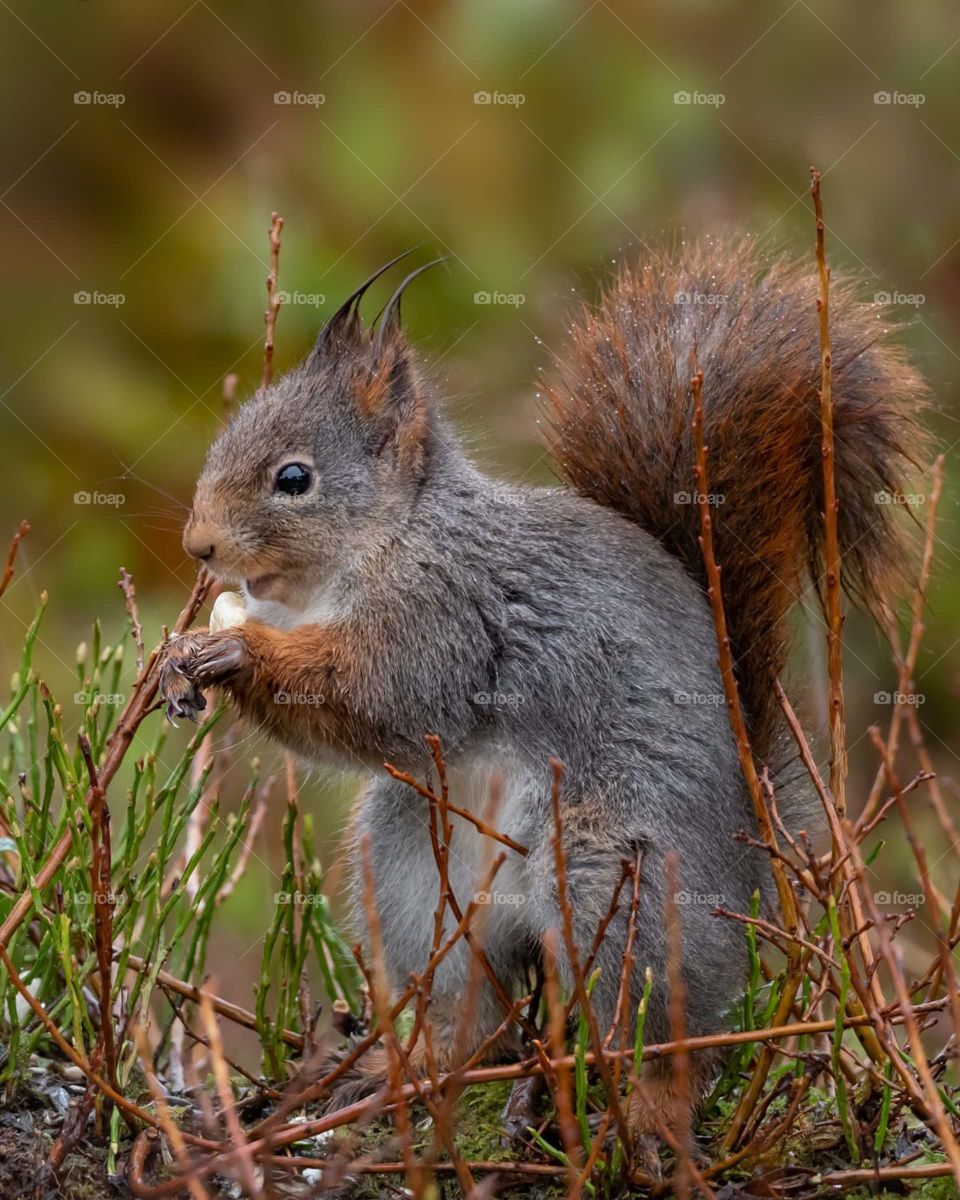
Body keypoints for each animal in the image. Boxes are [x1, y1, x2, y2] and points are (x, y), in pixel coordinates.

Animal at [160, 237, 926, 1144]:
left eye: (294, 479)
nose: (199, 545)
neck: (384, 544)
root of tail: (751, 859)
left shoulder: (447, 613)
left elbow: (376, 694)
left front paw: (235, 648)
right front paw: (181, 654)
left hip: (616, 882)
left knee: (664, 1033)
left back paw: (649, 1115)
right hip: (414, 875)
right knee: (476, 1013)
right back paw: (408, 1068)